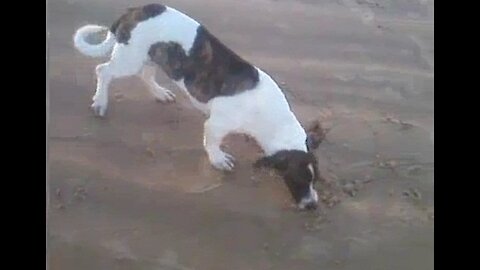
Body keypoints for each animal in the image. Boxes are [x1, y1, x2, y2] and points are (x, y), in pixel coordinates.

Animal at [73, 3, 324, 209]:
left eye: (316, 179)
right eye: (298, 179)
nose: (312, 205)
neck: (273, 120)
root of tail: (135, 10)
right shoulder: (215, 126)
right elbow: (212, 143)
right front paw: (218, 159)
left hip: (154, 57)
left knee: (145, 75)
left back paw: (159, 93)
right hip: (130, 59)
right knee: (103, 71)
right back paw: (100, 102)